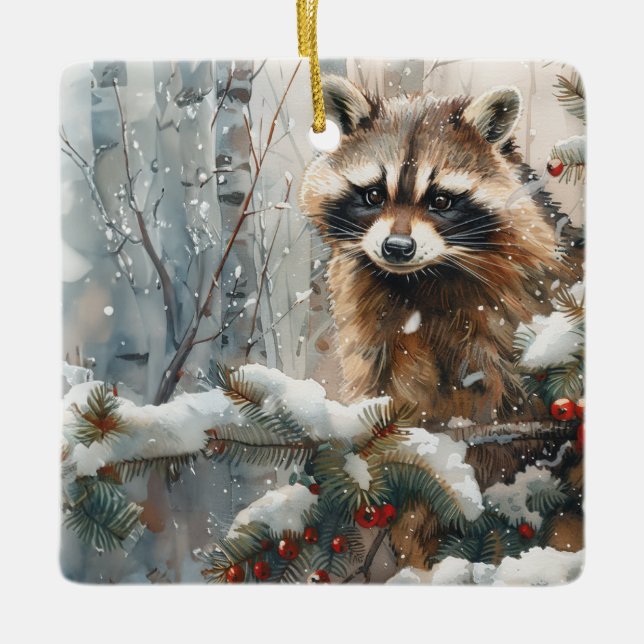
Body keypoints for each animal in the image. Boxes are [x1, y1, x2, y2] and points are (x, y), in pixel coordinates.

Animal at [299, 76, 576, 429]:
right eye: (374, 195)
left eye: (441, 201)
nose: (397, 247)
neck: (420, 278)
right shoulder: (365, 315)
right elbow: (376, 375)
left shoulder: (509, 305)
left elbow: (498, 378)